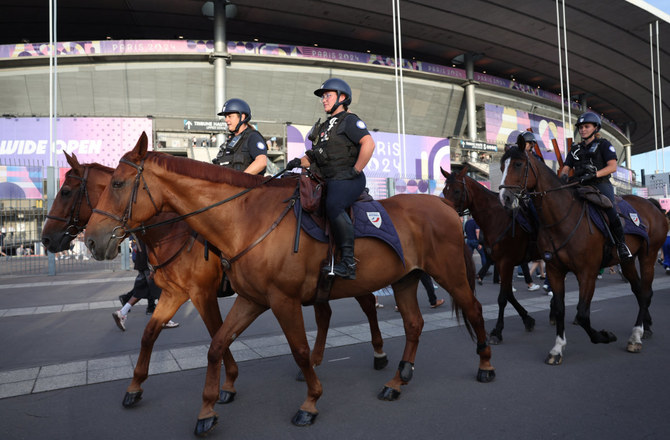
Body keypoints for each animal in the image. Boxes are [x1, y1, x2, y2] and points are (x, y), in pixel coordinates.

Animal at [40, 151, 388, 410]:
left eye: (66, 192)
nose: (46, 239)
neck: (172, 229)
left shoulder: (202, 294)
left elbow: (216, 332)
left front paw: (228, 381)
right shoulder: (176, 293)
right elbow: (151, 334)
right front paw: (135, 386)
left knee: (368, 304)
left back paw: (379, 355)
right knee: (325, 313)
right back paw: (314, 363)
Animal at [84, 133, 496, 436]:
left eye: (117, 184)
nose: (90, 240)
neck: (244, 219)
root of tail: (445, 208)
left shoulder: (275, 300)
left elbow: (297, 349)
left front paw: (310, 401)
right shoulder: (247, 299)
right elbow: (214, 345)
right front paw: (207, 408)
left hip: (449, 275)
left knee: (473, 311)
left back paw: (484, 364)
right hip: (405, 280)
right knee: (412, 324)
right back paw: (397, 380)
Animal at [444, 165, 540, 344]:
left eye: (457, 191)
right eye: (444, 191)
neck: (496, 218)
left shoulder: (506, 261)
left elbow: (502, 298)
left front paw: (497, 331)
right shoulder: (501, 263)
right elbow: (508, 294)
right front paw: (527, 318)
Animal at [498, 145, 668, 364]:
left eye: (518, 164)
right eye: (502, 166)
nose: (505, 198)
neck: (562, 218)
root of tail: (652, 205)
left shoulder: (587, 272)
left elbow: (582, 314)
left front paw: (604, 336)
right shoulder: (554, 270)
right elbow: (560, 308)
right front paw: (557, 348)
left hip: (649, 255)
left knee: (646, 292)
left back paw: (635, 336)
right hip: (628, 261)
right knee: (639, 291)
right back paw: (644, 328)